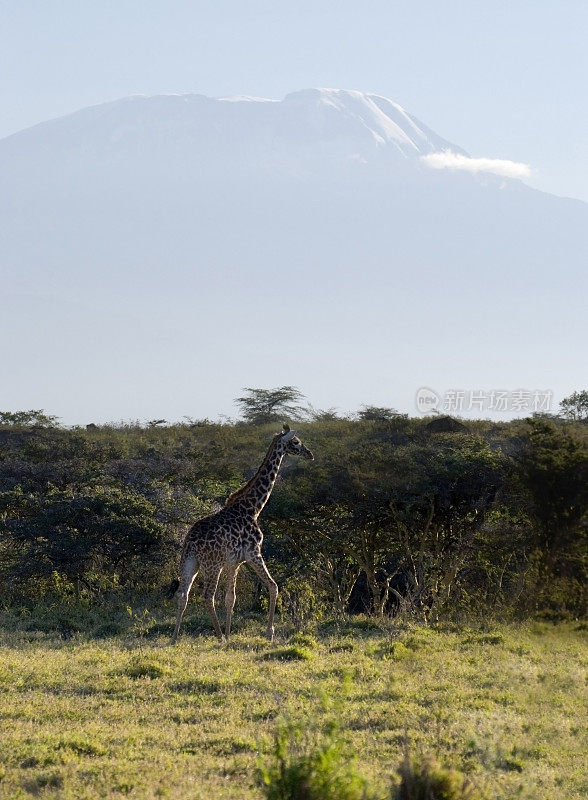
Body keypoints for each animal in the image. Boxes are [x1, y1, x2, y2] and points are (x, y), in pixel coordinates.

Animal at [170, 424, 314, 644]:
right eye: (296, 442)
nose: (310, 454)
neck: (253, 507)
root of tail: (191, 541)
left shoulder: (234, 561)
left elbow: (231, 598)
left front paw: (230, 634)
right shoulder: (253, 553)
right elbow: (273, 586)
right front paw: (269, 633)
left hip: (189, 562)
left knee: (182, 595)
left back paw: (175, 637)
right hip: (212, 564)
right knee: (207, 596)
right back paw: (218, 636)